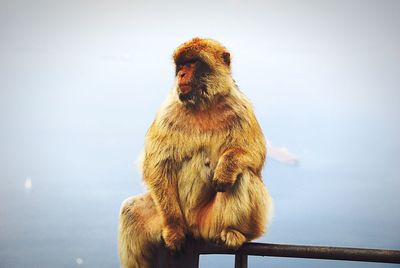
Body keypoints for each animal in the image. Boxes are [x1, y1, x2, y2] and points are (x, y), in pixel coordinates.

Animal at [118, 37, 272, 268]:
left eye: (193, 63)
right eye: (181, 65)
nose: (181, 74)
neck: (203, 105)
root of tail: (193, 227)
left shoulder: (241, 108)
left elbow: (254, 153)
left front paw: (226, 170)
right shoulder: (168, 111)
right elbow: (157, 165)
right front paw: (173, 230)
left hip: (209, 223)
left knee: (242, 176)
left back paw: (234, 231)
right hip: (163, 217)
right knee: (131, 210)